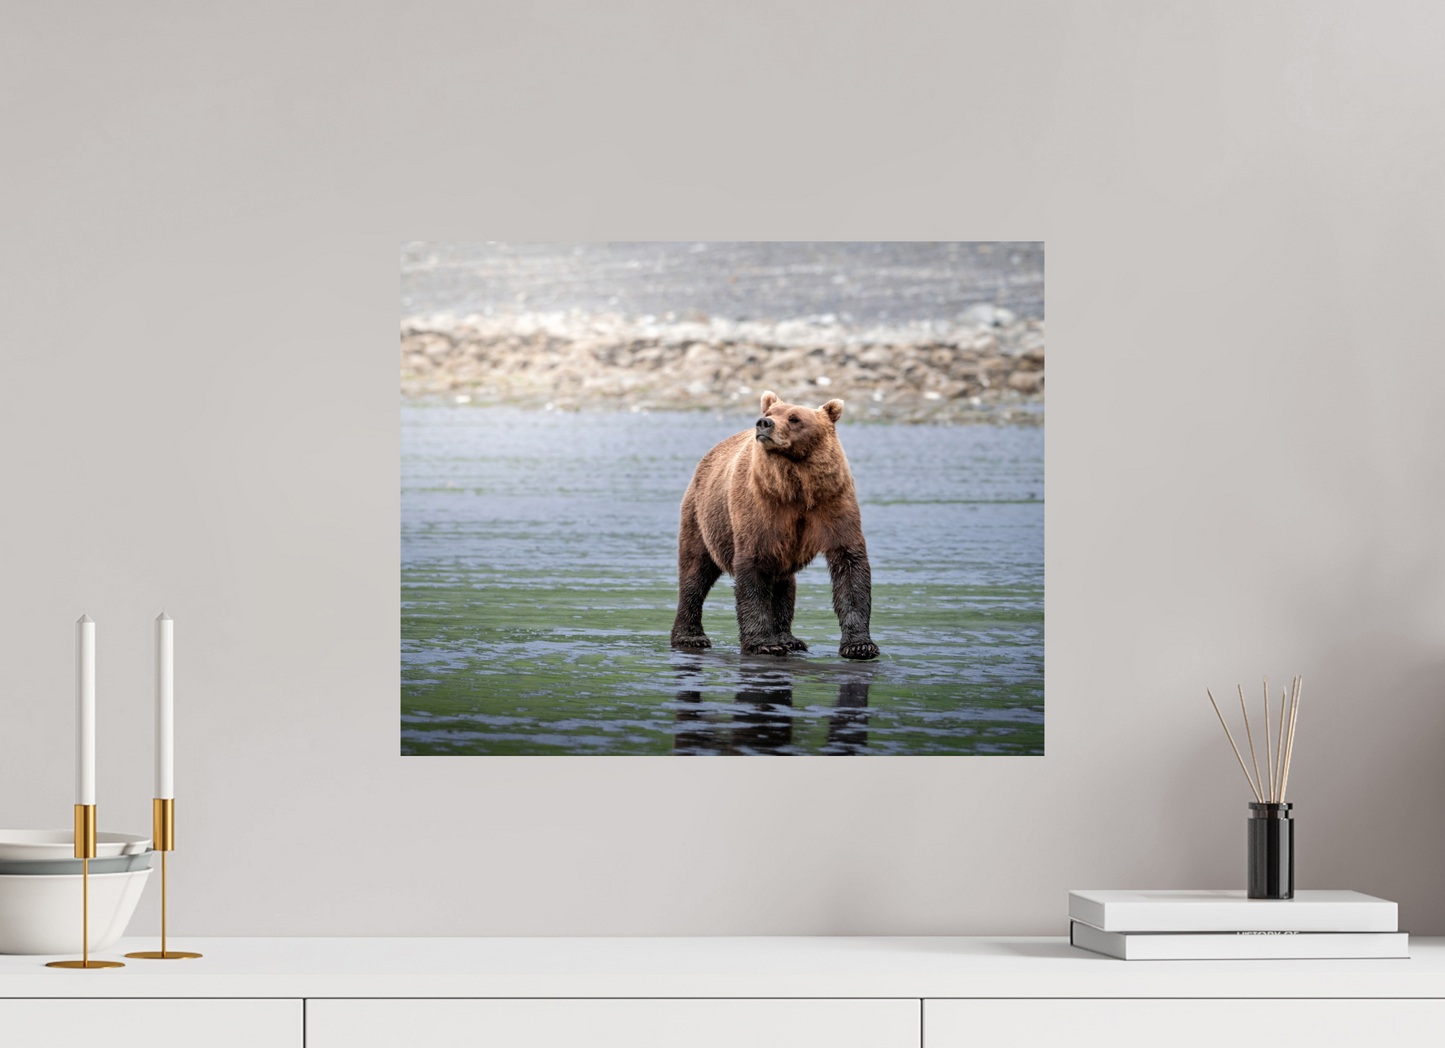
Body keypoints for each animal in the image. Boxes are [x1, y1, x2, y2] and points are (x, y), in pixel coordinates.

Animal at [669, 390, 881, 660]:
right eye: (770, 413)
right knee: (695, 572)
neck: (796, 485)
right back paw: (690, 636)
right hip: (703, 517)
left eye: (794, 418)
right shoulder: (762, 506)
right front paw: (763, 643)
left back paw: (788, 638)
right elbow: (753, 566)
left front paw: (860, 645)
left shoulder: (832, 500)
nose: (763, 423)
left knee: (784, 583)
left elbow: (850, 563)